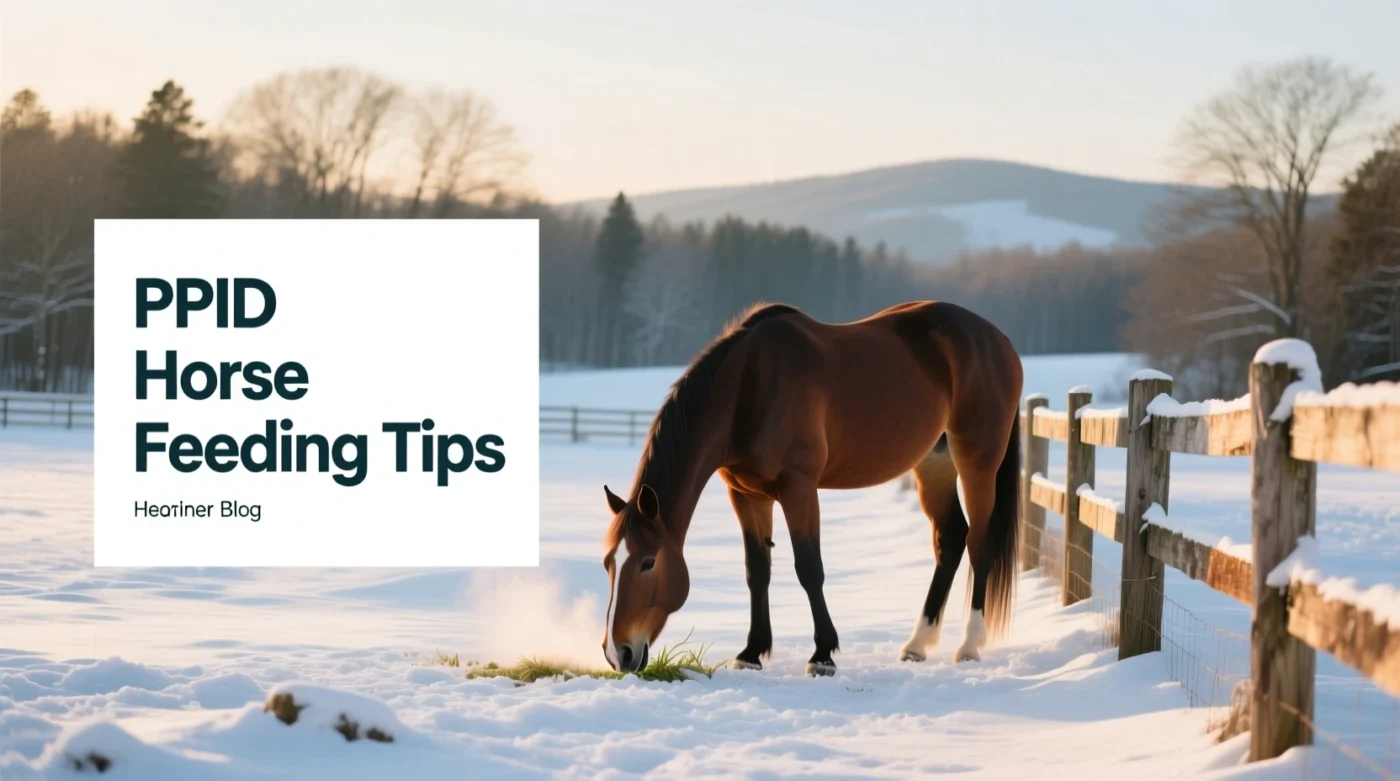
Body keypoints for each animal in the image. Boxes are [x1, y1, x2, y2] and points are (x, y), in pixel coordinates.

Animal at [600, 300, 1023, 676]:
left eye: (648, 562)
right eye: (608, 563)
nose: (618, 653)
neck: (748, 388)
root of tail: (999, 341)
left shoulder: (799, 489)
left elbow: (809, 569)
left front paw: (822, 655)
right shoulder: (747, 495)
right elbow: (757, 571)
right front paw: (751, 653)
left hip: (977, 462)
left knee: (979, 542)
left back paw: (969, 645)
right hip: (934, 464)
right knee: (950, 538)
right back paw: (917, 644)